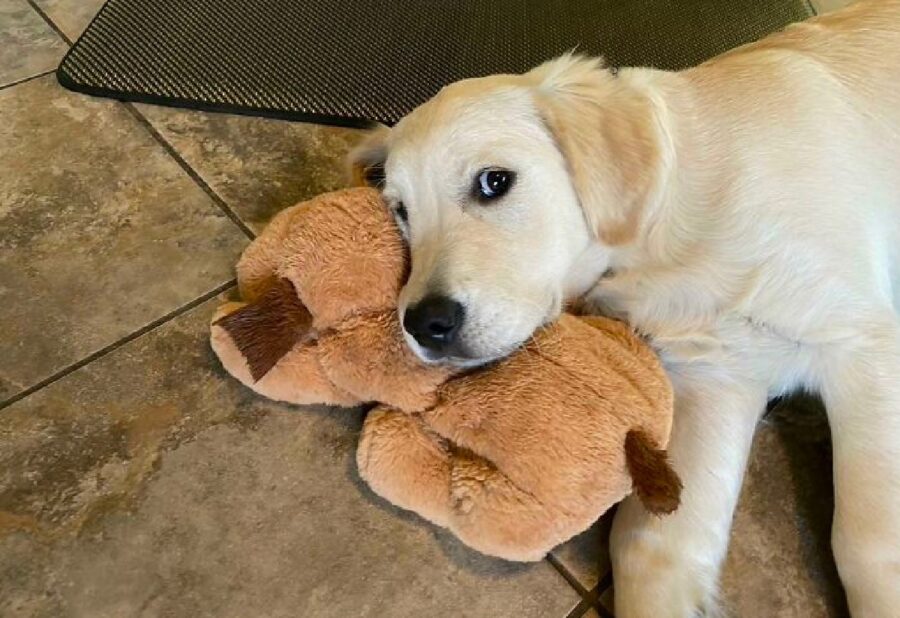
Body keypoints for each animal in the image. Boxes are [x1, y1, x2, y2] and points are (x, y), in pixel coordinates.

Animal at [350, 2, 900, 612]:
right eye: (401, 211)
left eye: (494, 182)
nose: (425, 325)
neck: (663, 234)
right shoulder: (716, 375)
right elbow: (650, 549)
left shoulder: (864, 345)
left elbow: (869, 542)